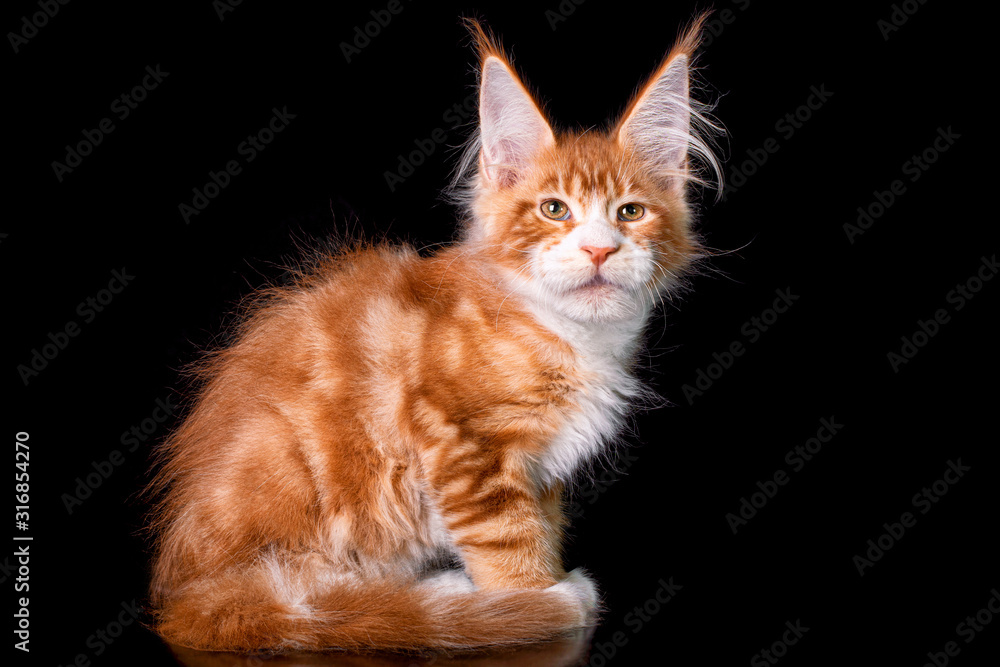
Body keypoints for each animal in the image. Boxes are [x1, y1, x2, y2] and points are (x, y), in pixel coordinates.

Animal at [146, 14, 720, 652]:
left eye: (629, 213)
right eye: (554, 209)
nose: (599, 249)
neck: (564, 333)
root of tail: (188, 598)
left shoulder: (540, 473)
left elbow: (539, 530)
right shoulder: (465, 447)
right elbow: (508, 546)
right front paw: (533, 600)